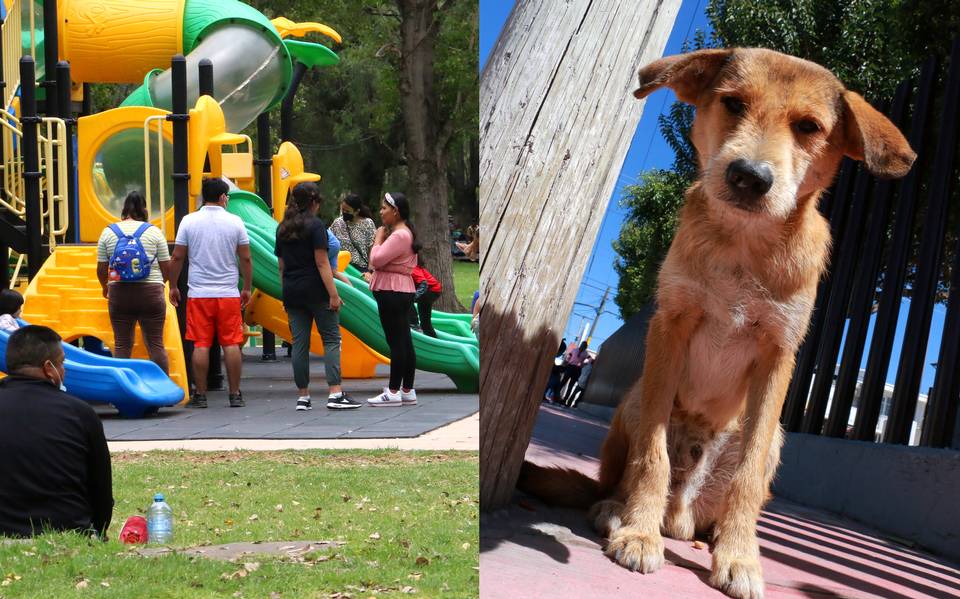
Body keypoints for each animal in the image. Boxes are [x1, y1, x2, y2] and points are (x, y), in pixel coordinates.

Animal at [516, 48, 916, 599]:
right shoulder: (672, 325)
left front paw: (741, 556)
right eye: (733, 103)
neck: (745, 244)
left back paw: (712, 535)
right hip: (636, 400)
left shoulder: (778, 353)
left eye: (809, 127)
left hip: (775, 439)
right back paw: (619, 510)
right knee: (619, 478)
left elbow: (745, 479)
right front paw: (638, 532)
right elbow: (652, 455)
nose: (750, 176)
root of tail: (682, 514)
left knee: (721, 501)